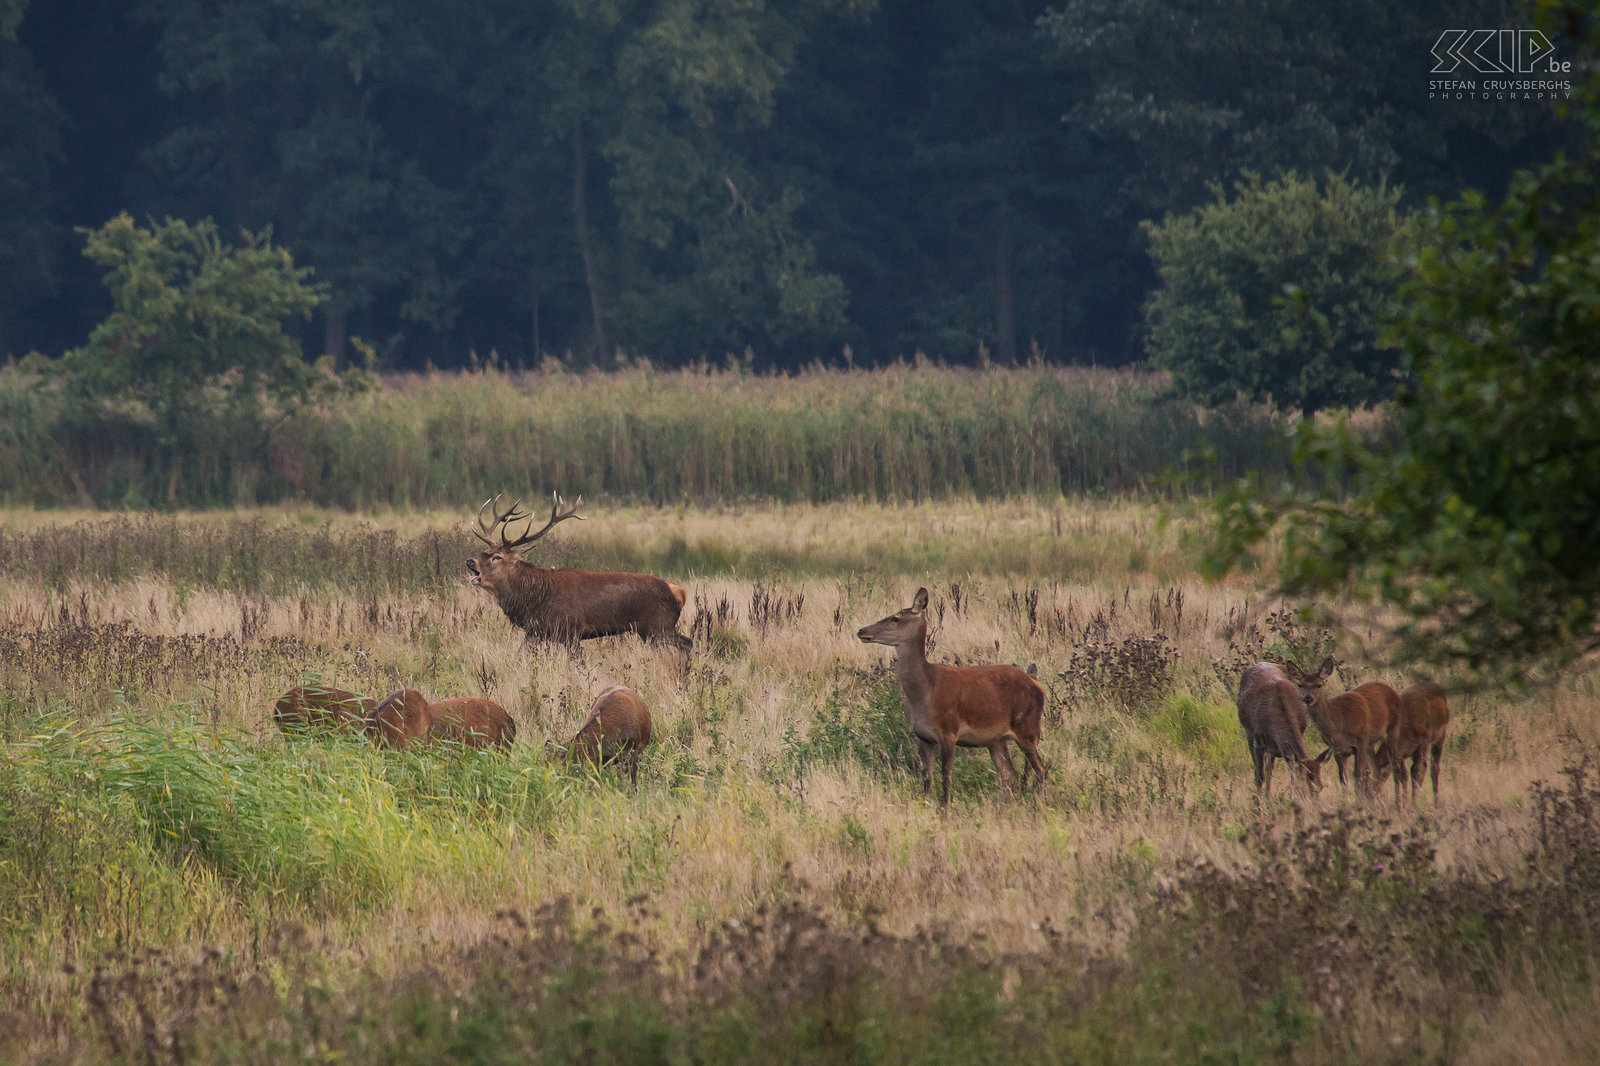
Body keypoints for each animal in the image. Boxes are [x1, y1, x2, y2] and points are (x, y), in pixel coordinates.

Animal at [464, 492, 688, 656]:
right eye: (484, 551)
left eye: (497, 556)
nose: (469, 561)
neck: (535, 599)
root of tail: (679, 591)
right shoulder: (536, 632)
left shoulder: (569, 631)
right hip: (651, 631)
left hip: (659, 626)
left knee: (688, 643)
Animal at [857, 582, 1043, 806]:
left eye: (896, 618)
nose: (861, 630)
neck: (924, 693)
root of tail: (1035, 681)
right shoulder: (923, 736)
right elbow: (926, 778)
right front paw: (925, 805)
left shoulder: (949, 730)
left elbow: (946, 777)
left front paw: (945, 809)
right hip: (997, 740)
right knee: (1009, 774)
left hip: (1027, 727)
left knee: (1040, 769)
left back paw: (1037, 805)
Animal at [1228, 659, 1318, 793]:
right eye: (1306, 788)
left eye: (1320, 786)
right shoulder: (1257, 741)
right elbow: (1259, 776)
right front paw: (1258, 799)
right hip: (1249, 733)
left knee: (1270, 769)